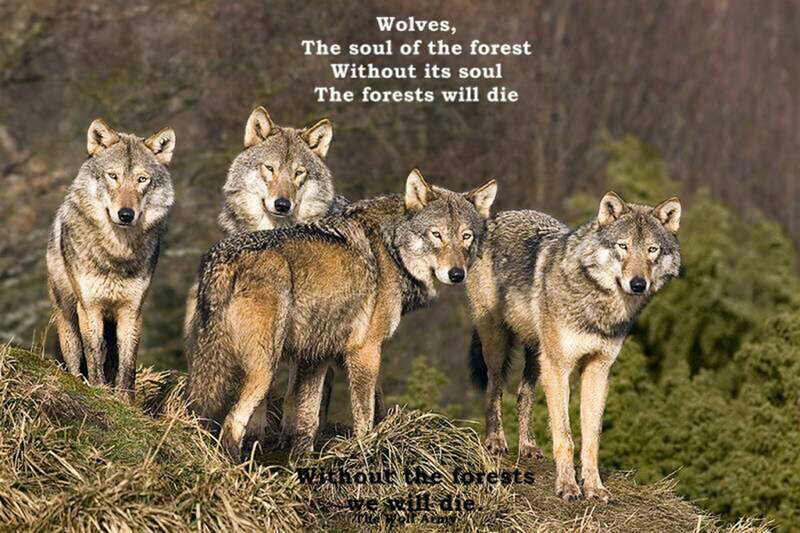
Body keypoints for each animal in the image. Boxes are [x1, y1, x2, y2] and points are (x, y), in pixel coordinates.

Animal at [47, 118, 176, 402]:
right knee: (76, 358)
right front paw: (99, 391)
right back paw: (78, 381)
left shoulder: (132, 310)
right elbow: (94, 354)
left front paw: (125, 401)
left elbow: (128, 364)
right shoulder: (90, 307)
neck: (116, 253)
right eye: (113, 176)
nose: (126, 214)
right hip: (68, 317)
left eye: (142, 179)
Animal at [186, 169, 497, 459]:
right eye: (437, 235)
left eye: (466, 237)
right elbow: (365, 413)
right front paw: (365, 450)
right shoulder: (365, 350)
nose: (457, 274)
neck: (392, 249)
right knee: (232, 422)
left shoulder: (316, 355)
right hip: (264, 368)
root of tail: (223, 259)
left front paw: (303, 459)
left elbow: (307, 417)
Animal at [467, 191, 681, 502]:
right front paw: (567, 486)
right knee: (494, 387)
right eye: (623, 246)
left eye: (652, 250)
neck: (599, 307)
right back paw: (495, 440)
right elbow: (565, 437)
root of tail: (499, 215)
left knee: (523, 394)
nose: (638, 284)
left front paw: (594, 488)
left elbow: (591, 439)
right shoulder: (560, 367)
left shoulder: (598, 370)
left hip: (537, 355)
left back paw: (528, 446)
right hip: (498, 343)